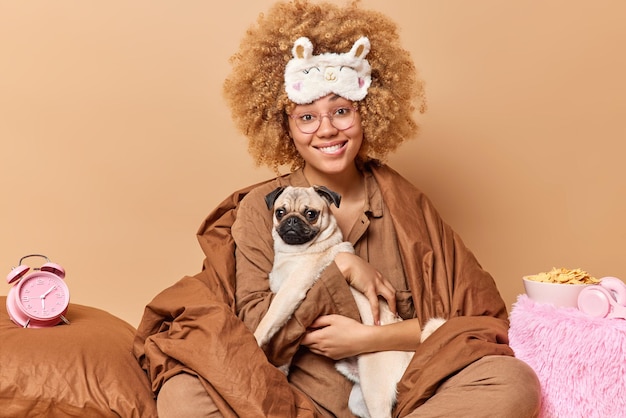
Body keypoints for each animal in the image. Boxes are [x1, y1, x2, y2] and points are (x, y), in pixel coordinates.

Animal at [254, 186, 444, 418]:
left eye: (311, 214)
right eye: (280, 212)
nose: (291, 220)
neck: (296, 252)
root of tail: (409, 357)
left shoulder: (289, 293)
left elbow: (268, 321)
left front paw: (255, 340)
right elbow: (287, 338)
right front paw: (281, 368)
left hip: (374, 392)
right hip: (358, 400)